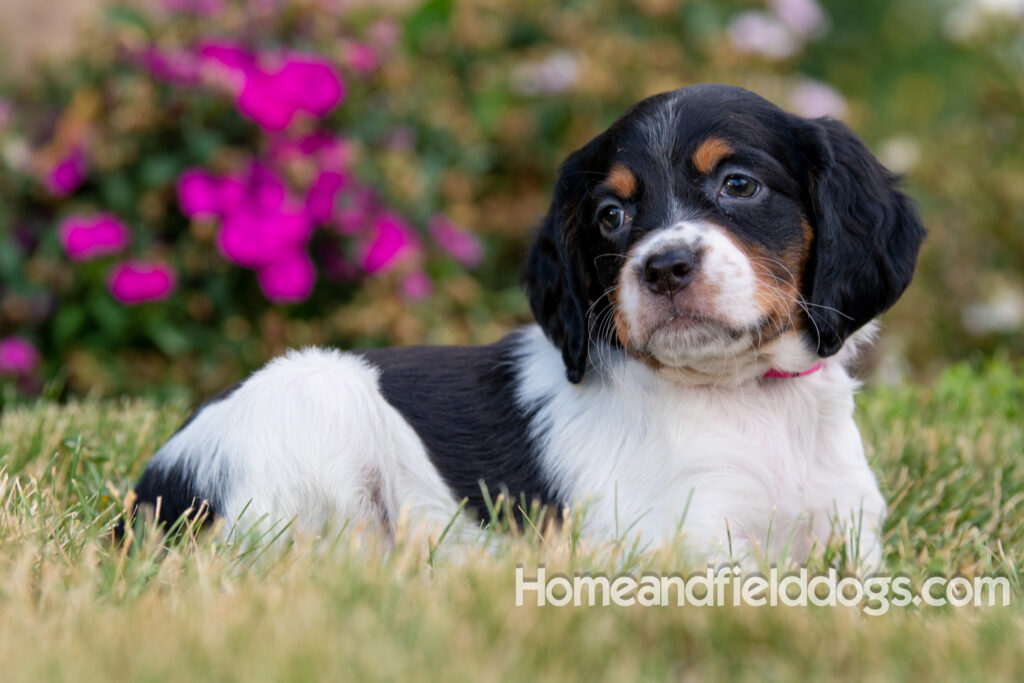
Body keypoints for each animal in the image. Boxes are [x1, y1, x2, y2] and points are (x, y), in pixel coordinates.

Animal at [130, 83, 929, 565]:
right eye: (610, 216)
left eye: (739, 184)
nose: (663, 267)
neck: (748, 399)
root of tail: (153, 482)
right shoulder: (682, 544)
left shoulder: (851, 536)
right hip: (315, 411)